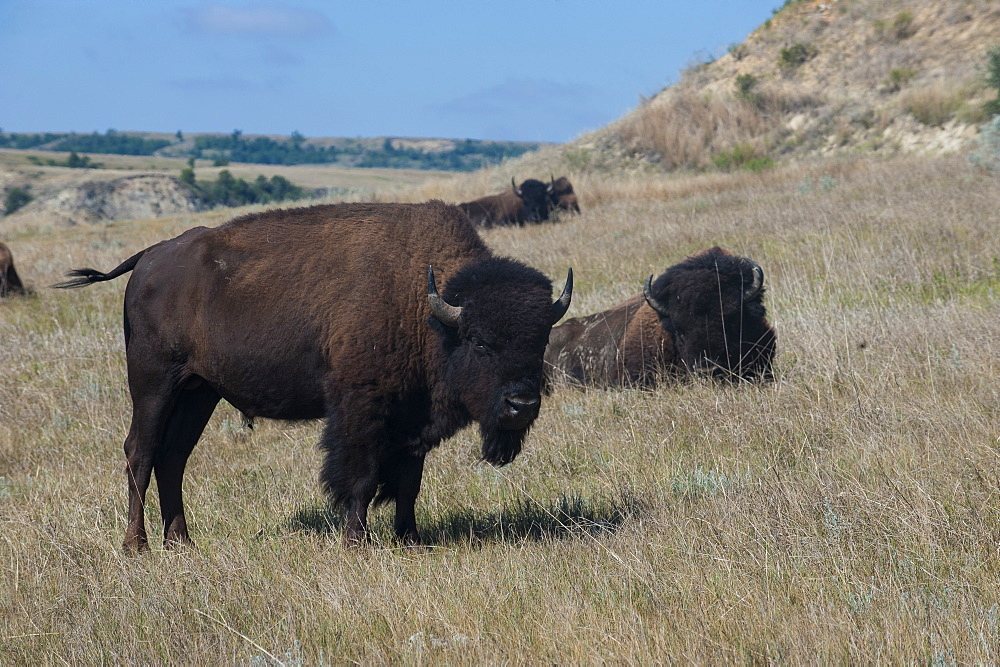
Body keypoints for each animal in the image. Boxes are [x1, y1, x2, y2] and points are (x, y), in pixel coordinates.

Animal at [56, 201, 572, 552]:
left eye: (540, 339)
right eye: (480, 341)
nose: (522, 405)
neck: (427, 310)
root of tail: (150, 257)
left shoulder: (412, 421)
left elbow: (409, 482)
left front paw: (410, 539)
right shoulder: (360, 408)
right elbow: (360, 477)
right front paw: (355, 542)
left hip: (198, 392)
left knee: (173, 457)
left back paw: (181, 542)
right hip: (154, 383)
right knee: (140, 453)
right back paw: (137, 546)